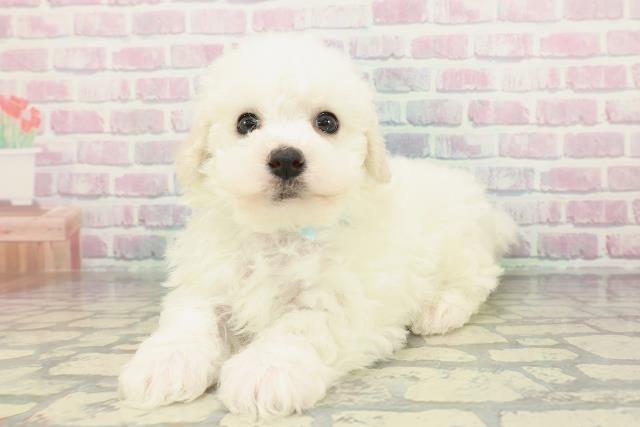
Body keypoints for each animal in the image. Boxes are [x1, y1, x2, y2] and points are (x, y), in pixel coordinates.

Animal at [118, 36, 517, 418]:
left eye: (327, 122)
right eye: (245, 123)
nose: (285, 158)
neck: (283, 230)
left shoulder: (343, 299)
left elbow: (303, 326)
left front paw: (265, 371)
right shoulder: (208, 277)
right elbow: (191, 317)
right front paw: (165, 364)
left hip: (462, 248)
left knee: (479, 279)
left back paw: (439, 309)